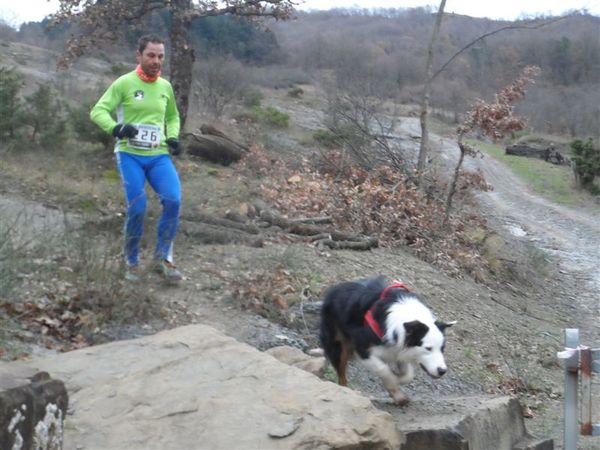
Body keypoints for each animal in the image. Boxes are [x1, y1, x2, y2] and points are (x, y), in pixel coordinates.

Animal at [318, 276, 454, 406]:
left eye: (442, 348)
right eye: (428, 348)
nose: (442, 371)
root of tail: (334, 288)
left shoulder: (399, 349)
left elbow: (408, 374)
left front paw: (399, 382)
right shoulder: (362, 348)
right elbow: (383, 369)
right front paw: (396, 389)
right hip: (337, 342)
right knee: (341, 373)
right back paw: (346, 391)